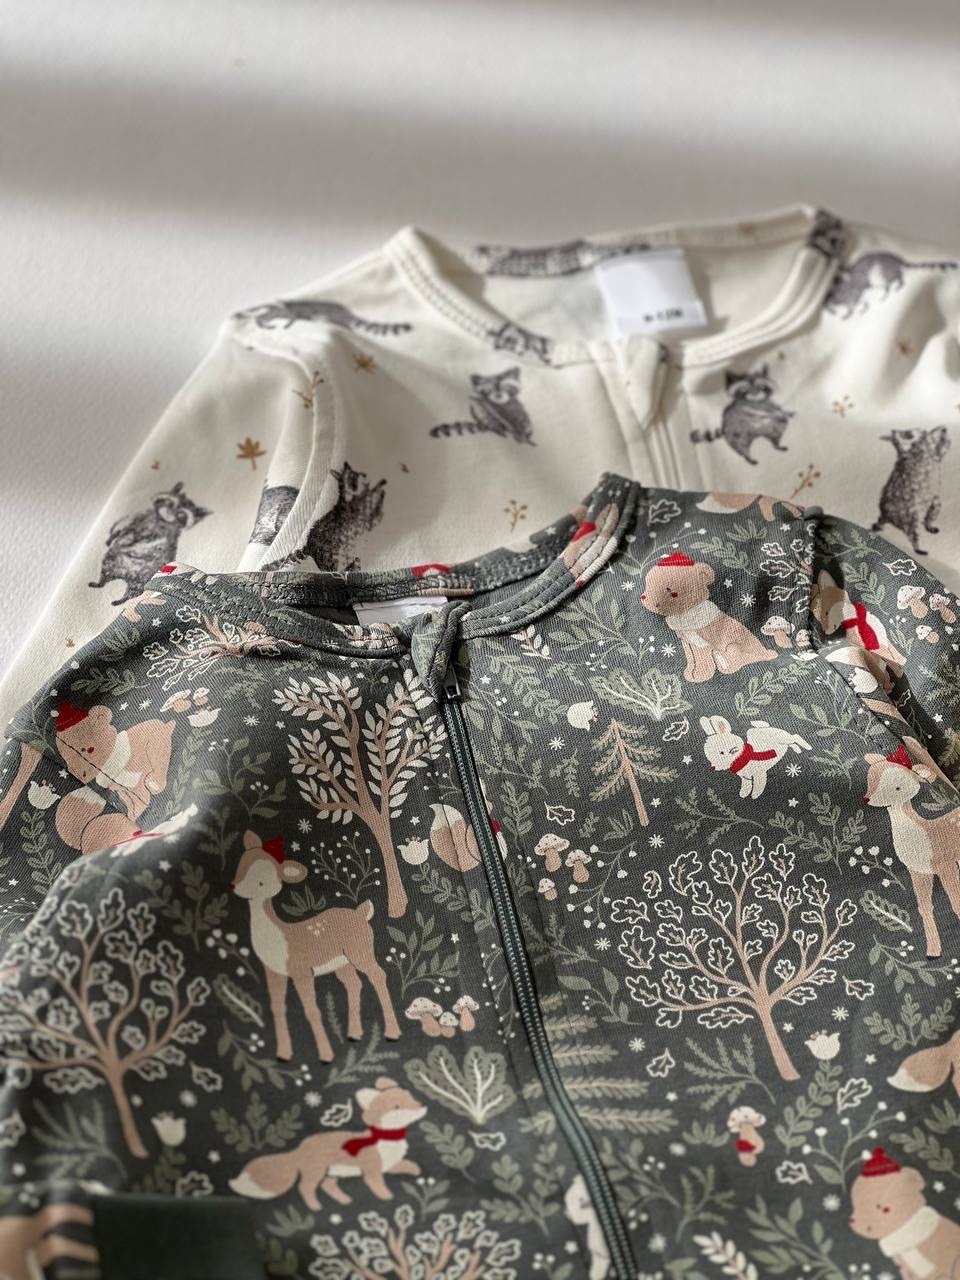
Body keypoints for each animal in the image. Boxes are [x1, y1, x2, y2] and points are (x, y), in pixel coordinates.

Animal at [230, 830, 401, 1062]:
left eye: (261, 883)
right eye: (241, 863)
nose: (232, 886)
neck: (279, 938)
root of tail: (361, 912)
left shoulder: (301, 970)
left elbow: (311, 1009)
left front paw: (326, 1055)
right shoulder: (273, 972)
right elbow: (277, 1007)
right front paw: (283, 1054)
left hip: (360, 950)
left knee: (377, 975)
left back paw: (391, 1032)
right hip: (342, 962)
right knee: (354, 984)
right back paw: (354, 1034)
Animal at [639, 551, 777, 683]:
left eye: (670, 590)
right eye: (647, 583)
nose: (643, 597)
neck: (685, 614)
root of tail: (765, 652)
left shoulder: (702, 644)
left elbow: (702, 660)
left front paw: (701, 675)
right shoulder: (688, 643)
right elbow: (692, 659)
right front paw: (691, 673)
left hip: (732, 646)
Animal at [863, 745, 960, 958]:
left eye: (898, 787)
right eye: (870, 778)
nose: (866, 799)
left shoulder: (945, 864)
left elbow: (955, 898)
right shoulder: (918, 872)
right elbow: (924, 907)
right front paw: (933, 952)